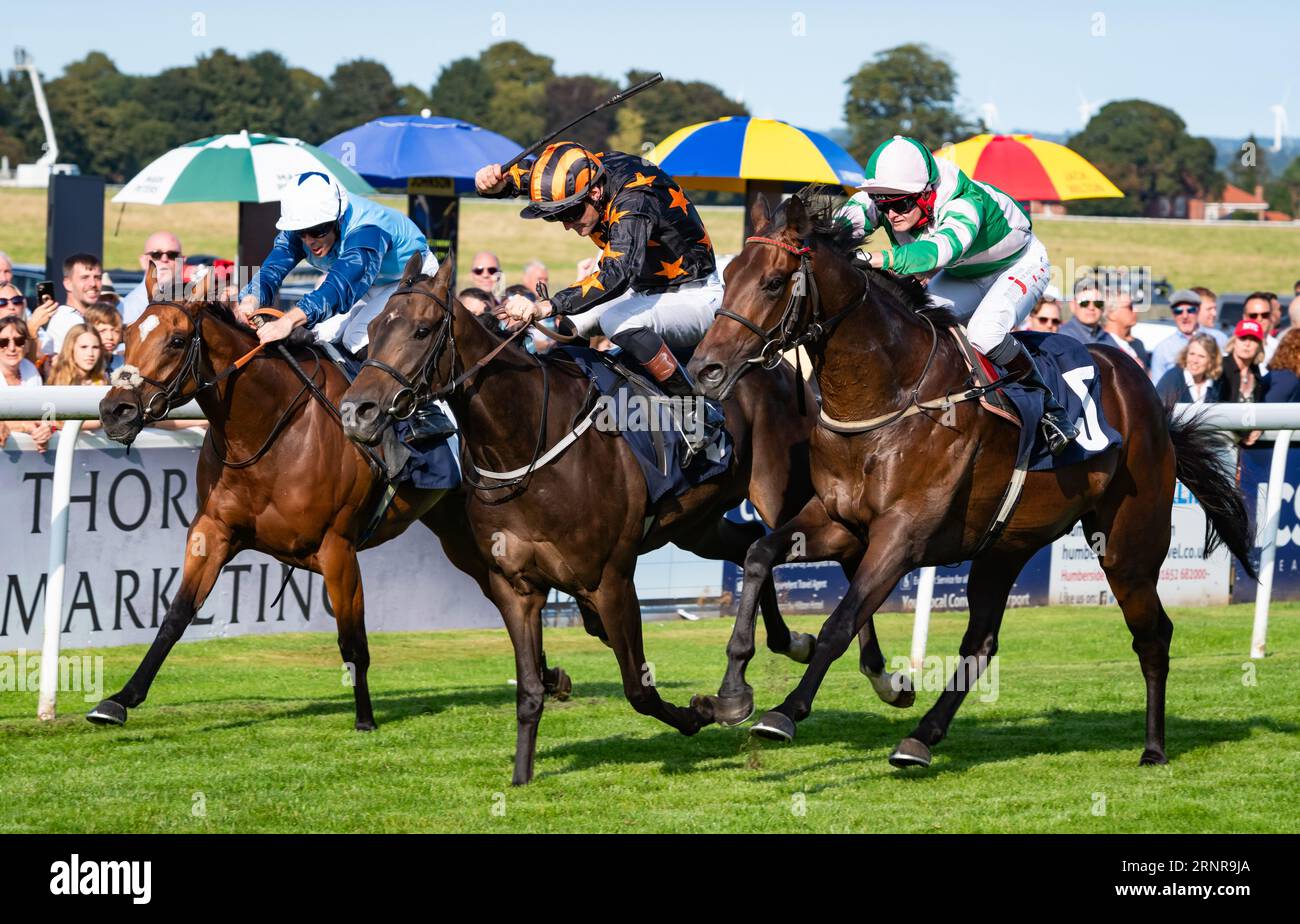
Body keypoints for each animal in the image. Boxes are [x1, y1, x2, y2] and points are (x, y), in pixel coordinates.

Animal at [86, 263, 517, 732]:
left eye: (177, 340)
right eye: (127, 333)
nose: (115, 411)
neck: (268, 430)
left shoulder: (337, 548)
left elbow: (352, 640)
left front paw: (365, 719)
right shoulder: (213, 530)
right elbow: (177, 614)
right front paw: (119, 700)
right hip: (456, 530)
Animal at [335, 254, 821, 790]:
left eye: (421, 330)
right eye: (373, 329)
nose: (356, 412)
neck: (526, 440)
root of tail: (776, 365)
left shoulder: (609, 580)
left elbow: (638, 687)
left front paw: (701, 711)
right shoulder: (515, 586)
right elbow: (529, 689)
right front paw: (521, 775)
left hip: (786, 496)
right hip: (698, 524)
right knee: (749, 542)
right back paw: (790, 642)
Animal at [686, 197, 1253, 774]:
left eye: (774, 283)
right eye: (728, 277)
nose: (705, 369)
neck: (887, 396)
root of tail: (1144, 387)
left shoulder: (901, 537)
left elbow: (839, 624)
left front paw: (785, 711)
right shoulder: (839, 522)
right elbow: (759, 554)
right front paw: (732, 692)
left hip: (1127, 546)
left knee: (1153, 635)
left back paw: (1154, 747)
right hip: (1004, 546)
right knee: (981, 643)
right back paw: (920, 739)